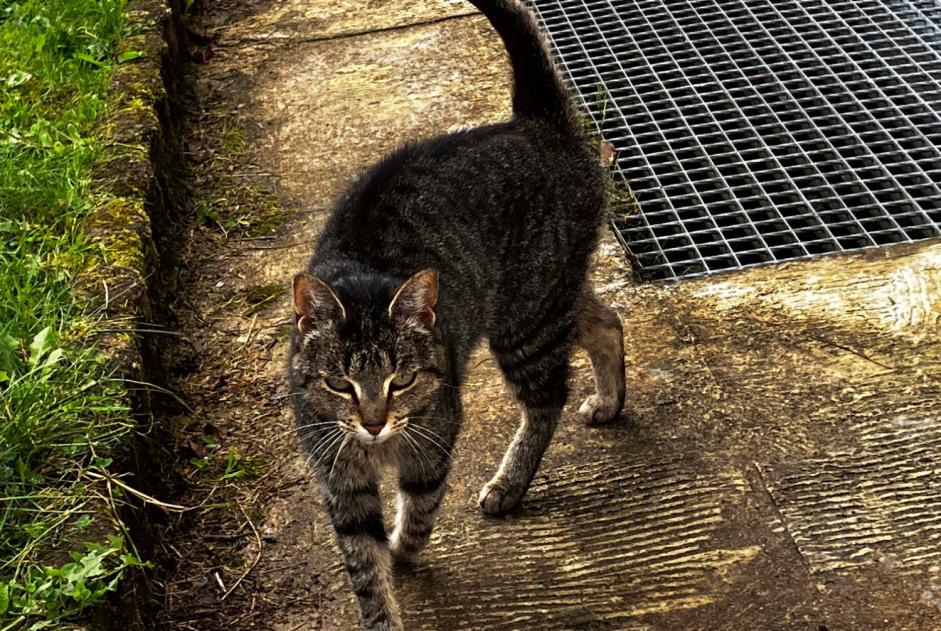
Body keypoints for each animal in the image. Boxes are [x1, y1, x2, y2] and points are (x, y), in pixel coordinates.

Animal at [286, 0, 624, 628]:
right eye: (341, 385)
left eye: (401, 380)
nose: (373, 422)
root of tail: (535, 123)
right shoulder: (341, 478)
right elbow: (364, 568)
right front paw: (382, 600)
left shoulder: (434, 439)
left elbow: (418, 513)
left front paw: (402, 547)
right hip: (545, 297)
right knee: (606, 320)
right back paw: (610, 400)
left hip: (526, 321)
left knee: (546, 400)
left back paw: (510, 482)